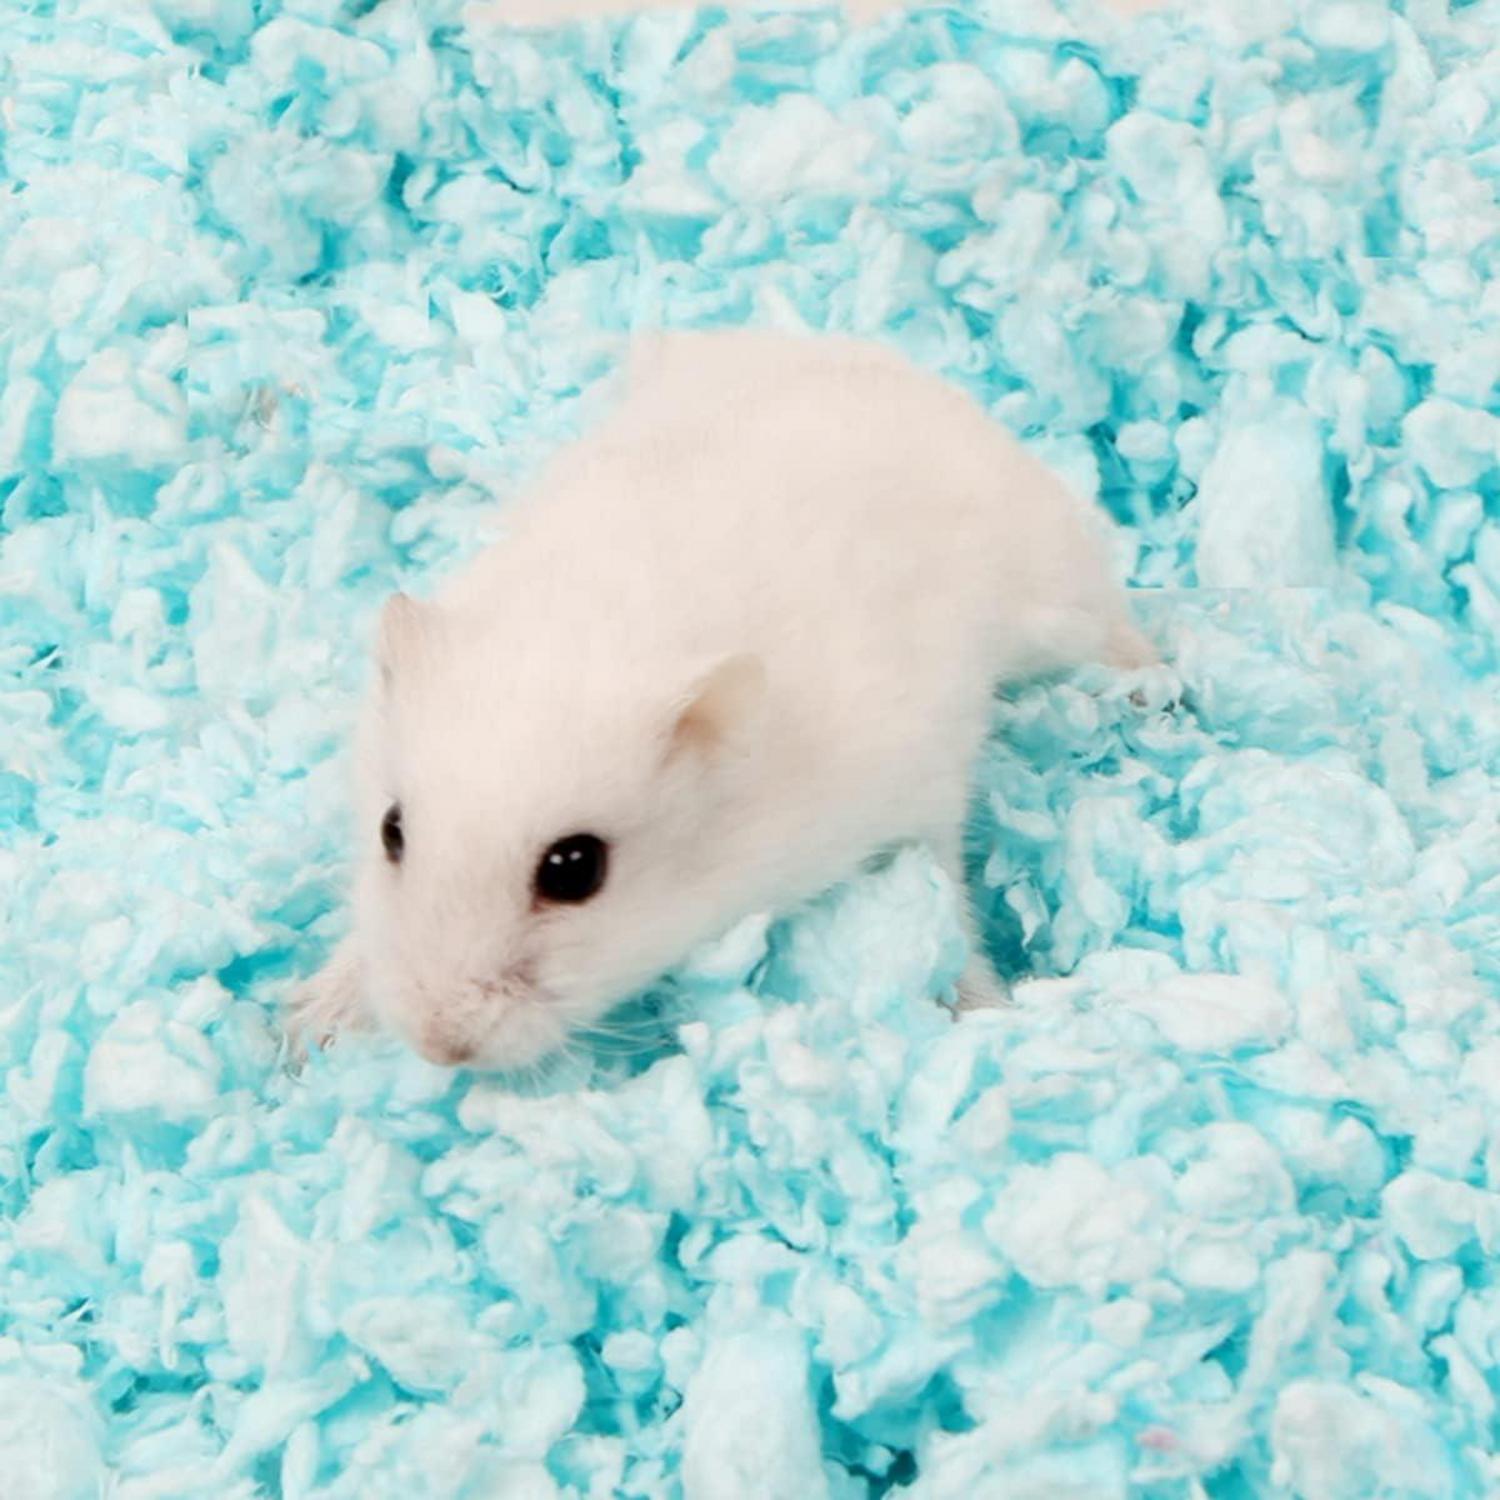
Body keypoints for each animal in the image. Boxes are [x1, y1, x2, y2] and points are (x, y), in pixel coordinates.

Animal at [291, 327, 1153, 1070]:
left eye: (575, 870)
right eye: (391, 831)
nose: (439, 1046)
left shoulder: (917, 799)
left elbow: (949, 911)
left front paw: (982, 1011)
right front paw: (304, 1028)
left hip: (1059, 595)